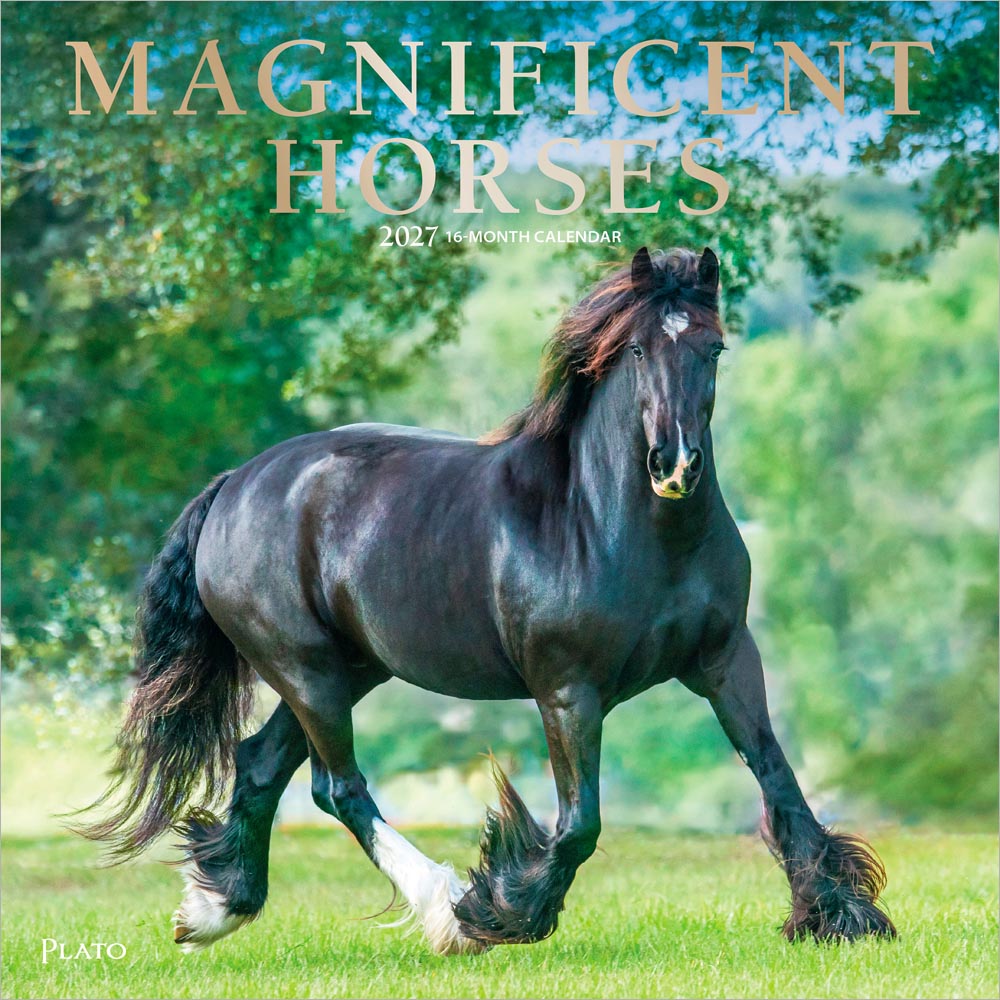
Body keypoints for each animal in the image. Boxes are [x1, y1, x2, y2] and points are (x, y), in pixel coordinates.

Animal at [77, 246, 896, 955]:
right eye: (636, 352)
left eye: (714, 348)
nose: (675, 465)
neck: (611, 525)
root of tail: (234, 485)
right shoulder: (568, 689)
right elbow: (579, 823)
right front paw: (501, 911)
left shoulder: (725, 660)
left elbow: (780, 783)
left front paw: (841, 916)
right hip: (306, 670)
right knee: (337, 787)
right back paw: (443, 914)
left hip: (348, 668)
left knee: (259, 765)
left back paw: (213, 910)